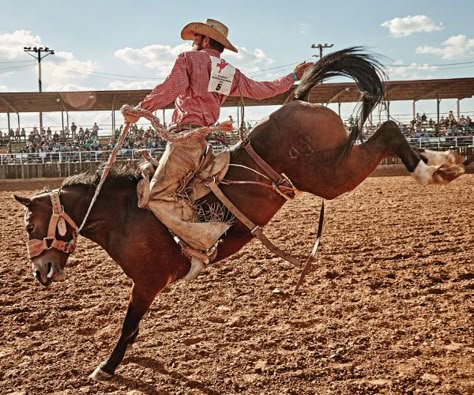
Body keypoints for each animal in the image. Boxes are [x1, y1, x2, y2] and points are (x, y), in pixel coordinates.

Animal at [13, 47, 462, 380]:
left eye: (31, 223)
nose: (40, 272)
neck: (126, 213)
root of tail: (298, 101)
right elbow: (134, 326)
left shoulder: (147, 282)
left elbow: (127, 324)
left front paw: (106, 366)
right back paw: (443, 164)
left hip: (329, 175)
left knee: (387, 129)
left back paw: (433, 168)